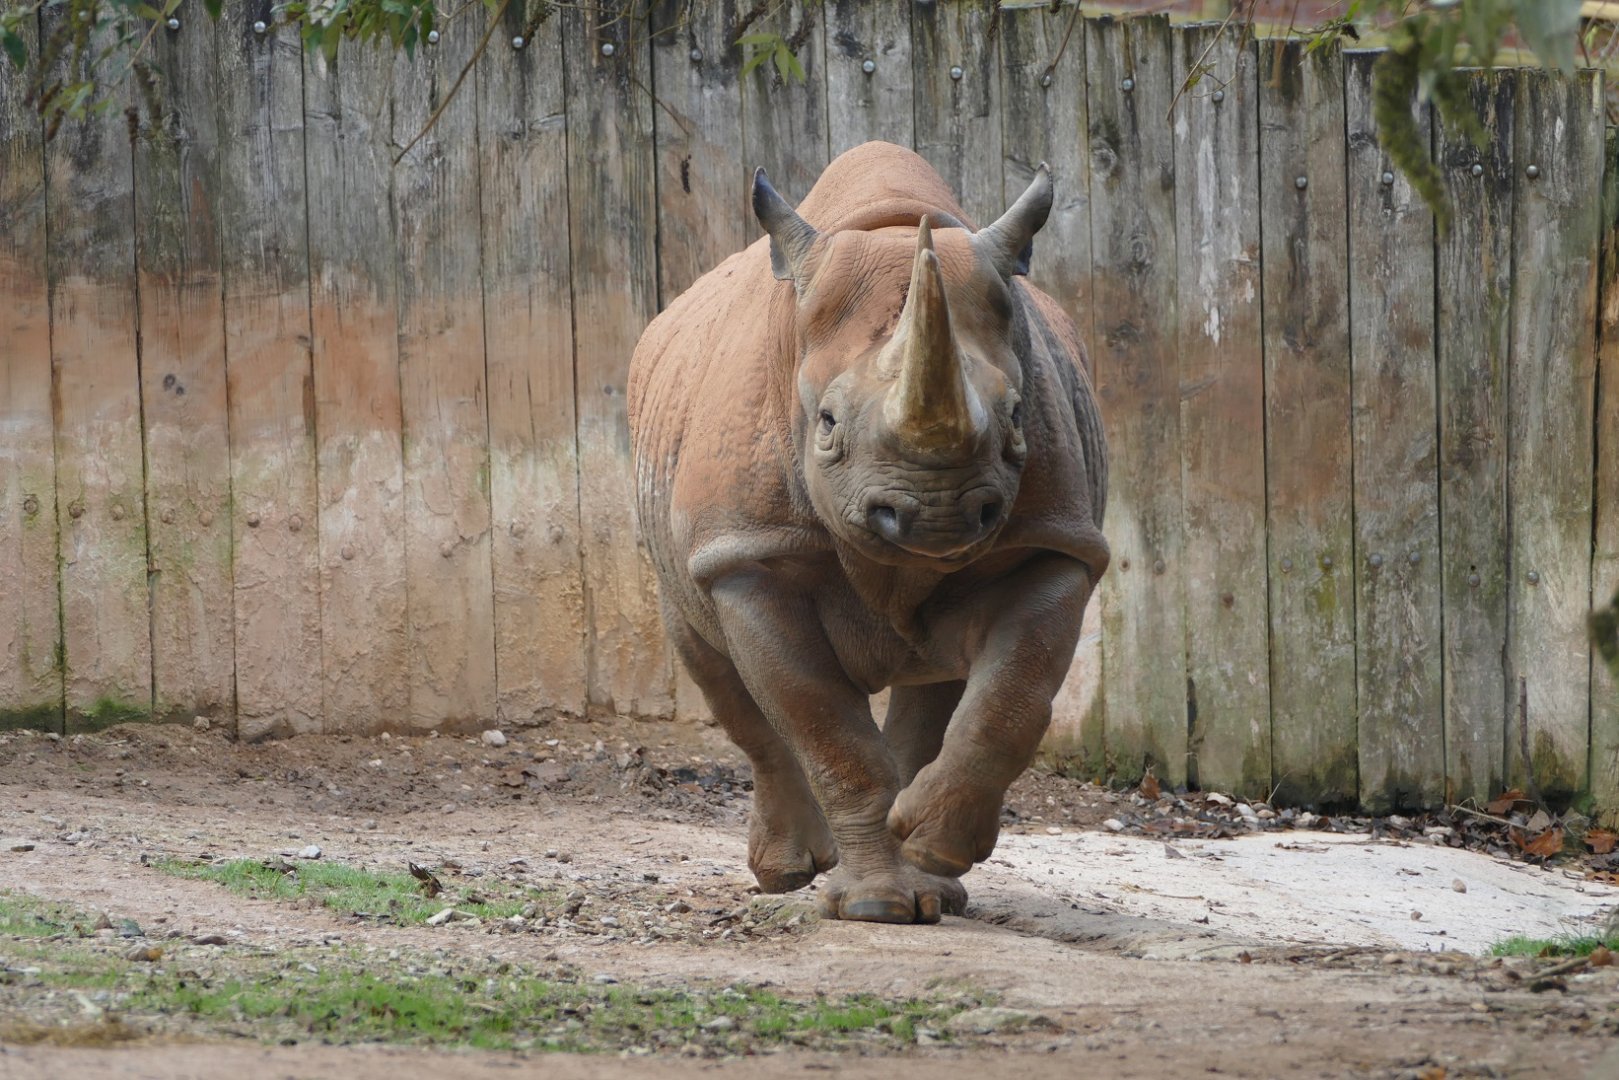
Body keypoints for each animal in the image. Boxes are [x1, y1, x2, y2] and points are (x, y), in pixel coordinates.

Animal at [628, 142, 1108, 924]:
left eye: (1015, 418)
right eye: (825, 424)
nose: (935, 515)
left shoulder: (1050, 542)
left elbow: (1012, 699)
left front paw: (932, 849)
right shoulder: (750, 555)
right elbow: (824, 725)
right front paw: (876, 906)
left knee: (938, 676)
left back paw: (932, 877)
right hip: (687, 532)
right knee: (710, 659)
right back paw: (790, 872)